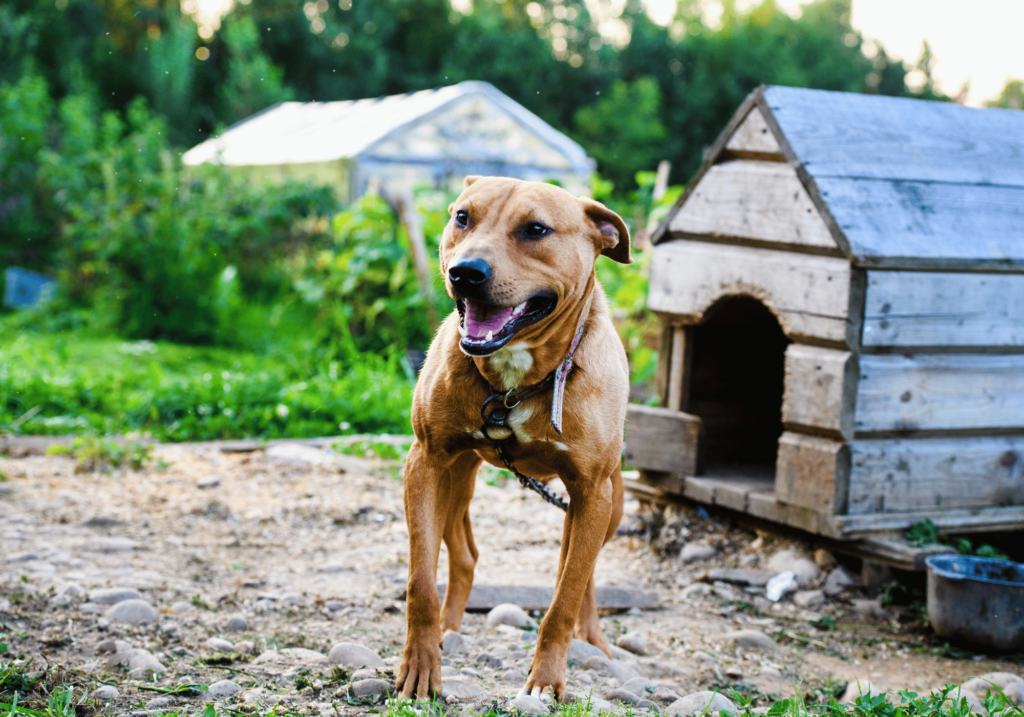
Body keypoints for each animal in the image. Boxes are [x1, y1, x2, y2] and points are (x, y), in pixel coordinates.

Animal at [395, 175, 626, 700]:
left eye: (535, 229)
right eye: (462, 217)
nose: (465, 272)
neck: (516, 381)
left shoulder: (592, 493)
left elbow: (564, 599)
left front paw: (546, 681)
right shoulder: (426, 463)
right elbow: (421, 583)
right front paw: (420, 665)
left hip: (609, 505)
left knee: (581, 574)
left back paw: (593, 639)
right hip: (456, 479)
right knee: (464, 555)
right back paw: (449, 629)